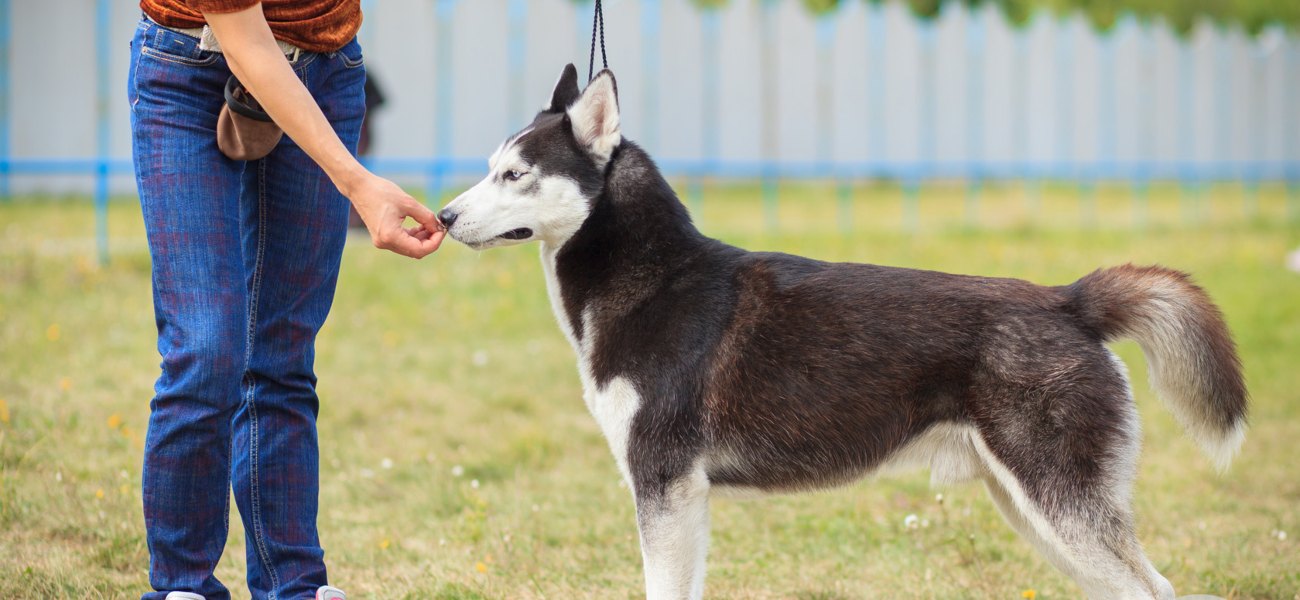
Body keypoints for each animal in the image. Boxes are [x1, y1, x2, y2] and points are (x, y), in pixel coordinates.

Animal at [439, 65, 1248, 600]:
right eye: (490, 168)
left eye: (515, 175)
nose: (443, 217)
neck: (652, 281)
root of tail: (1067, 300)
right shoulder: (679, 497)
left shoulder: (665, 486)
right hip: (1030, 509)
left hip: (1062, 507)